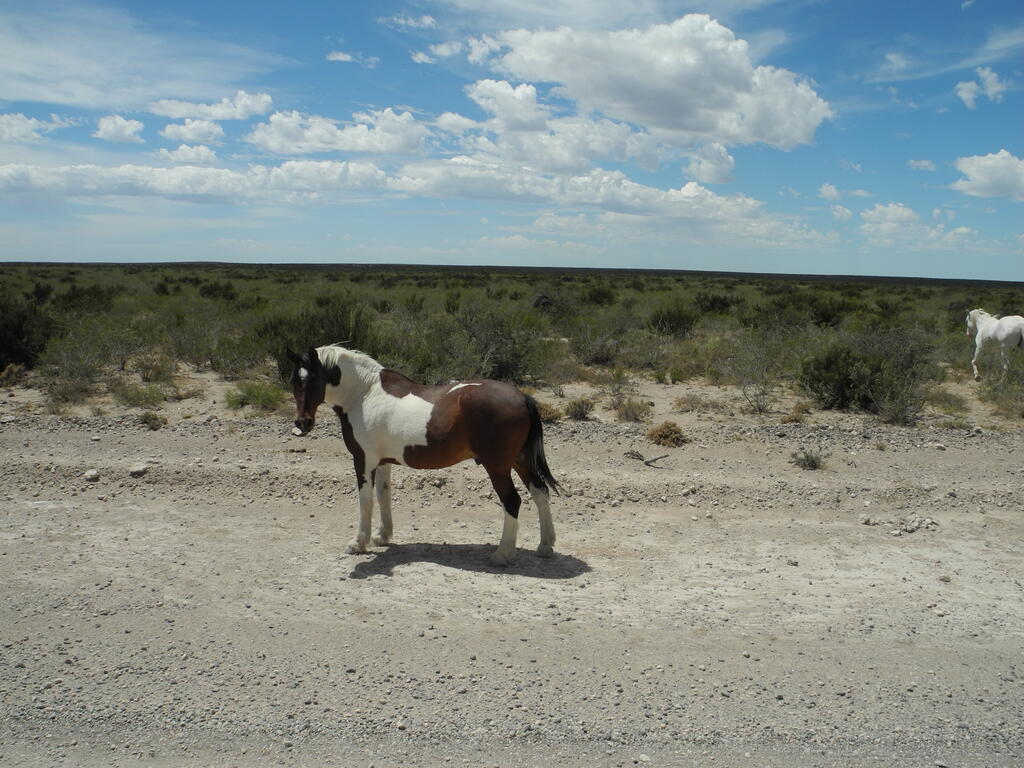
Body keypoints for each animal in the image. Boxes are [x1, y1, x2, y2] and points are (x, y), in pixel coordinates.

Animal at [287, 344, 562, 566]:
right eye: (293, 381)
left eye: (311, 379)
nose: (302, 423)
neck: (364, 394)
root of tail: (523, 397)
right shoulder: (383, 462)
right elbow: (383, 496)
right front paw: (382, 535)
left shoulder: (363, 461)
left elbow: (366, 500)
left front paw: (358, 542)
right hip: (520, 461)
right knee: (540, 493)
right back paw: (545, 545)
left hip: (498, 467)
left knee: (512, 501)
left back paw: (502, 554)